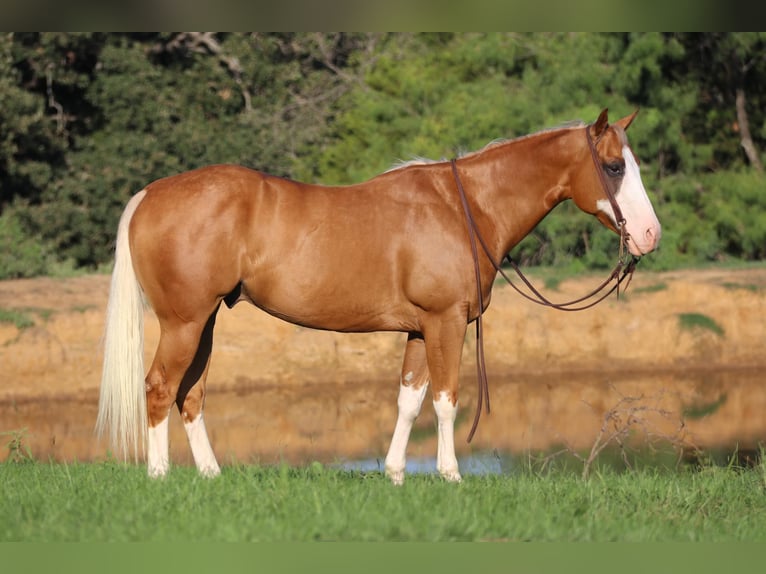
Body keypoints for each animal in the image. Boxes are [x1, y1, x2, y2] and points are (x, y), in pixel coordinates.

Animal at [96, 109, 660, 486]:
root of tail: (151, 193)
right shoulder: (445, 322)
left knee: (190, 394)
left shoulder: (419, 329)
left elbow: (409, 401)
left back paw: (211, 474)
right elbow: (447, 399)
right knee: (160, 388)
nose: (650, 235)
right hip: (184, 322)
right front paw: (450, 475)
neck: (463, 208)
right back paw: (159, 475)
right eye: (614, 167)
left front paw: (394, 474)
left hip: (205, 322)